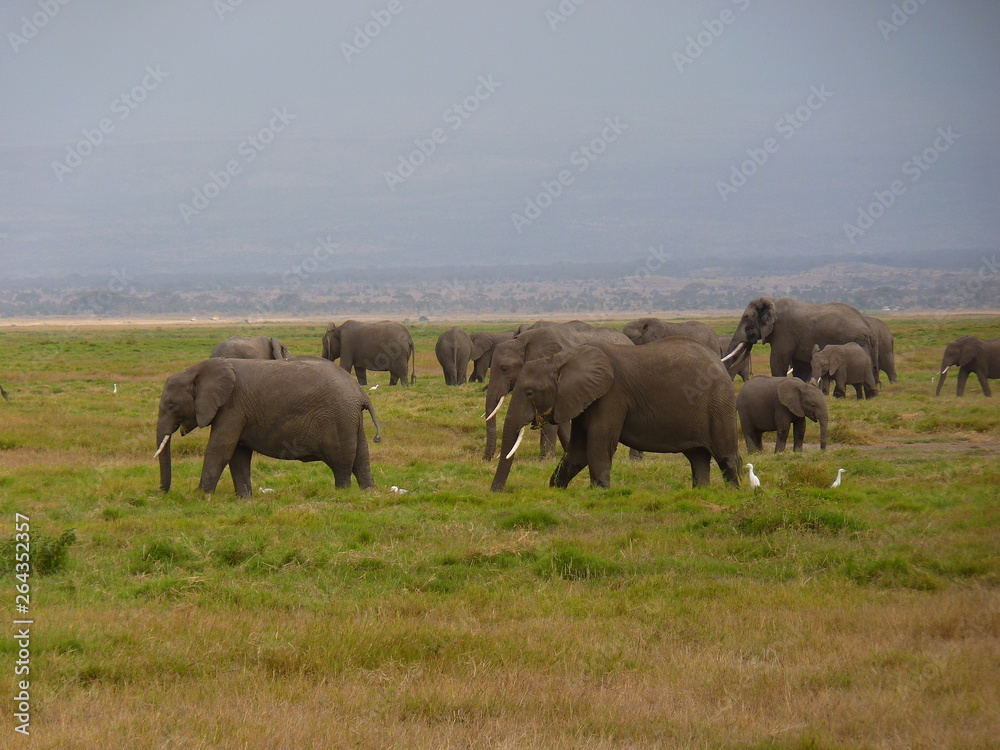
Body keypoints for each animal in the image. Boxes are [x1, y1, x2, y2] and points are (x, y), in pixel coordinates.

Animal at [155, 360, 382, 500]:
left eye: (171, 406)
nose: (161, 493)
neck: (197, 369)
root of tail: (360, 393)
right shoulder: (237, 412)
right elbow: (238, 455)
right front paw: (245, 500)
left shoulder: (231, 408)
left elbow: (220, 450)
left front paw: (200, 496)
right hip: (351, 420)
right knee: (361, 458)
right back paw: (369, 493)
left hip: (339, 419)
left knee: (341, 462)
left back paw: (341, 494)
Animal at [488, 340, 740, 494]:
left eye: (530, 393)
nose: (496, 492)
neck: (559, 360)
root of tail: (720, 364)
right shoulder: (583, 399)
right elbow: (578, 451)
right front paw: (556, 490)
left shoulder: (611, 395)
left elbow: (599, 444)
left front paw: (599, 493)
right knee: (697, 458)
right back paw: (701, 492)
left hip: (719, 403)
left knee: (725, 456)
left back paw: (734, 493)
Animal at [724, 296, 880, 384]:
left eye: (745, 318)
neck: (772, 301)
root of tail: (870, 330)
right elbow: (800, 366)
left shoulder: (783, 331)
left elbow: (777, 360)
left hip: (859, 342)